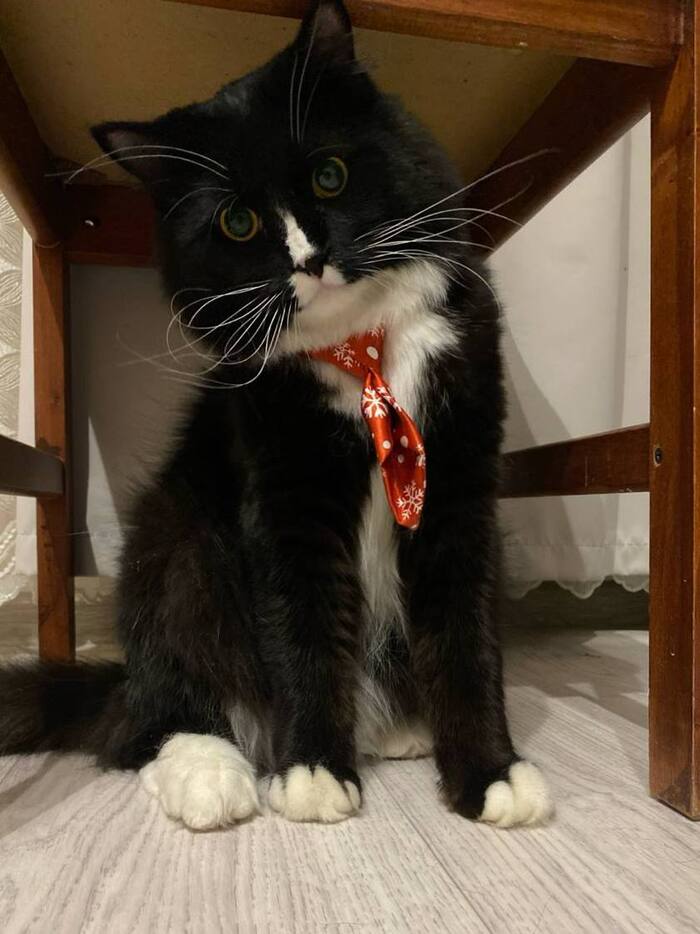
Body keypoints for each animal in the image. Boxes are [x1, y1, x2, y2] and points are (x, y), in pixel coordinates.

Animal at [0, 0, 552, 830]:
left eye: (329, 176)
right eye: (237, 222)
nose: (308, 260)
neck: (365, 352)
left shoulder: (460, 484)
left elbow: (466, 637)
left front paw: (490, 772)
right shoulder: (286, 494)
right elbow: (306, 630)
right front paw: (315, 770)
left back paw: (398, 730)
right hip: (177, 541)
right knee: (147, 720)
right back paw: (210, 774)